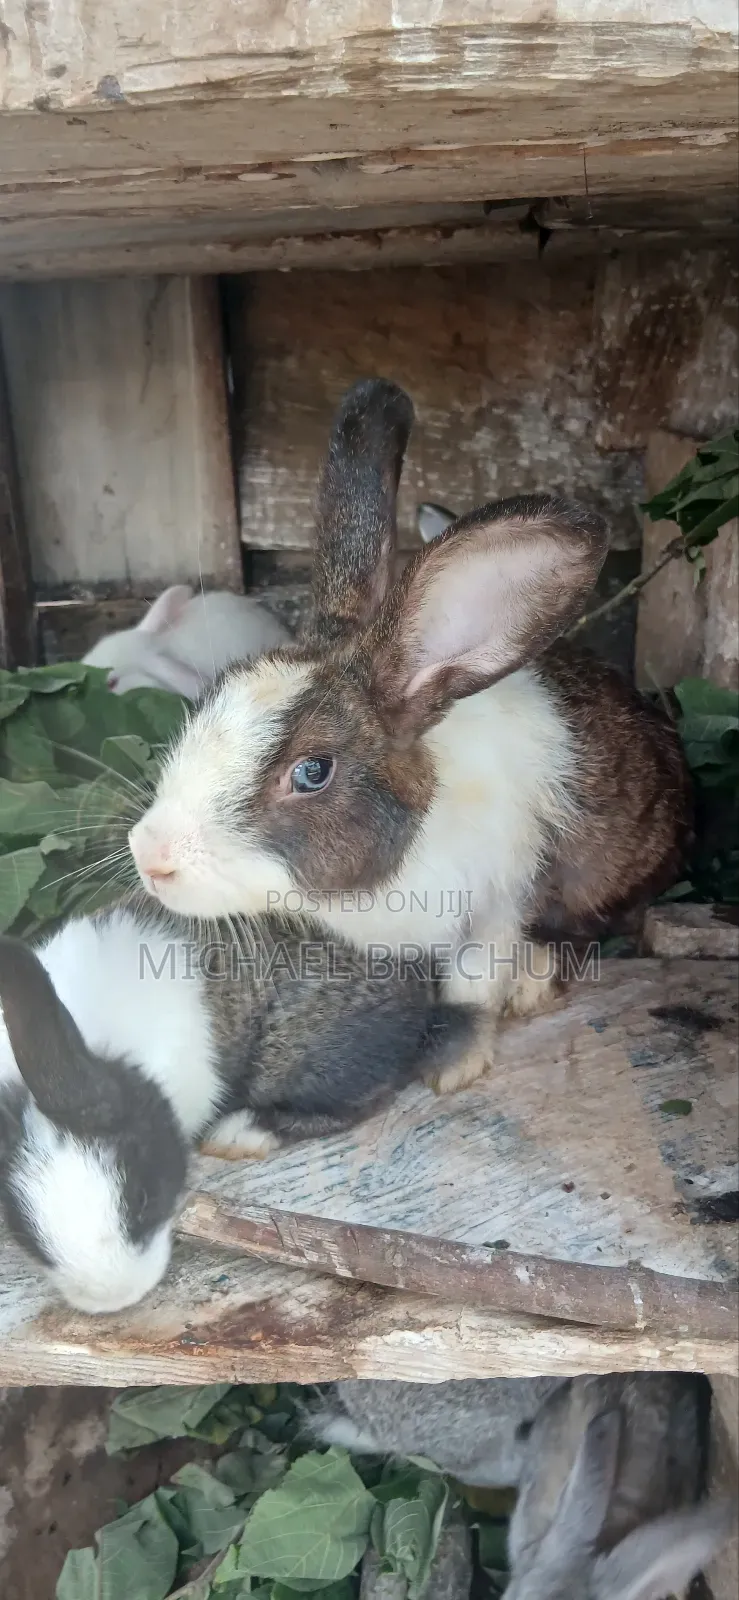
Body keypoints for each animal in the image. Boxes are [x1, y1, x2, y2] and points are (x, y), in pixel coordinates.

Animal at [128, 377, 693, 1096]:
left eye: (312, 771)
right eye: (207, 700)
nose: (149, 856)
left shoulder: (499, 897)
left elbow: (473, 983)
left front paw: (453, 1065)